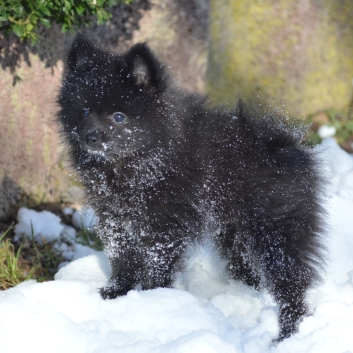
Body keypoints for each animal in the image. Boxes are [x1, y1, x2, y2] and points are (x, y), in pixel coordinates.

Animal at [57, 34, 324, 340]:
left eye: (119, 116)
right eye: (83, 111)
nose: (90, 137)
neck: (141, 163)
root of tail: (285, 146)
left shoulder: (165, 227)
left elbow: (157, 267)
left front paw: (154, 300)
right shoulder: (116, 220)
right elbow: (123, 259)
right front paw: (115, 294)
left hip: (275, 235)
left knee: (291, 284)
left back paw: (288, 334)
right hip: (235, 235)